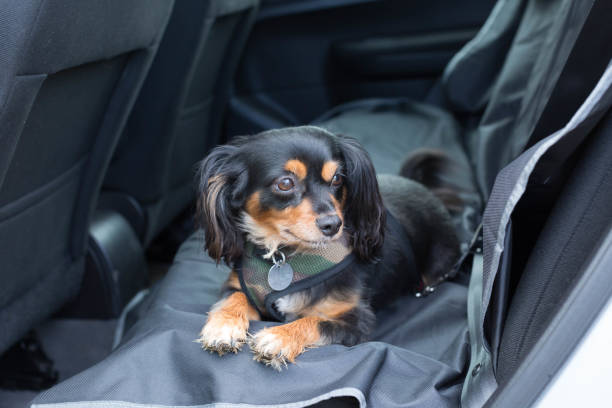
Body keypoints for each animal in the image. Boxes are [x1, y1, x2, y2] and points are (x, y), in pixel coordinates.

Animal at [196, 125, 460, 370]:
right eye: (285, 183)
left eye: (337, 179)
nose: (333, 224)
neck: (288, 256)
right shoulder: (236, 286)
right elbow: (235, 297)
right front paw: (223, 327)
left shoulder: (356, 322)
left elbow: (314, 321)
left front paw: (279, 337)